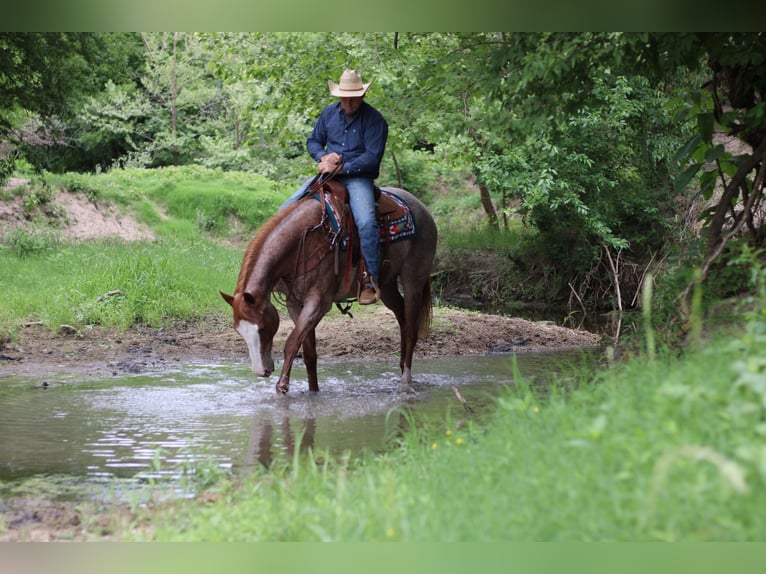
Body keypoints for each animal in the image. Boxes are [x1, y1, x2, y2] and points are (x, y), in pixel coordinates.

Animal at [220, 184, 438, 396]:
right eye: (238, 330)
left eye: (263, 327)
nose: (261, 371)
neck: (301, 242)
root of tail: (423, 208)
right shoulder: (294, 304)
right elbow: (309, 352)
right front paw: (313, 392)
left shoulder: (318, 303)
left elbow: (292, 343)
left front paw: (282, 388)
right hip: (387, 285)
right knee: (402, 318)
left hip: (413, 279)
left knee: (411, 328)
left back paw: (405, 380)